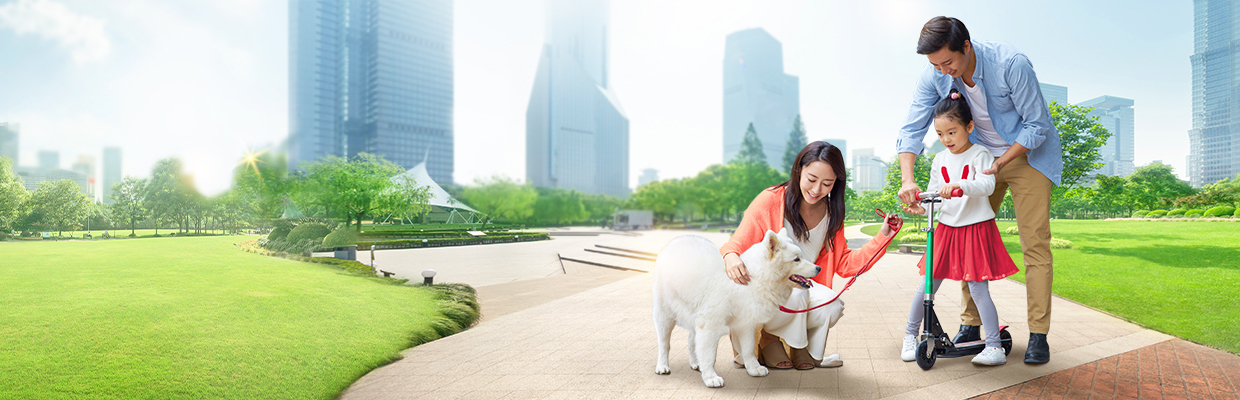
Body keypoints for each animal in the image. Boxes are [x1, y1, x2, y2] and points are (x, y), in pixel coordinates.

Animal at [649, 231, 823, 388]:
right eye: (796, 259)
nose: (818, 268)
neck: (752, 280)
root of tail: (676, 240)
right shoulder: (710, 325)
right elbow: (709, 354)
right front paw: (711, 377)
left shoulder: (746, 324)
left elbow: (748, 349)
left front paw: (754, 368)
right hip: (664, 314)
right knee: (664, 343)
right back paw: (663, 366)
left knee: (692, 340)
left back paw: (696, 362)